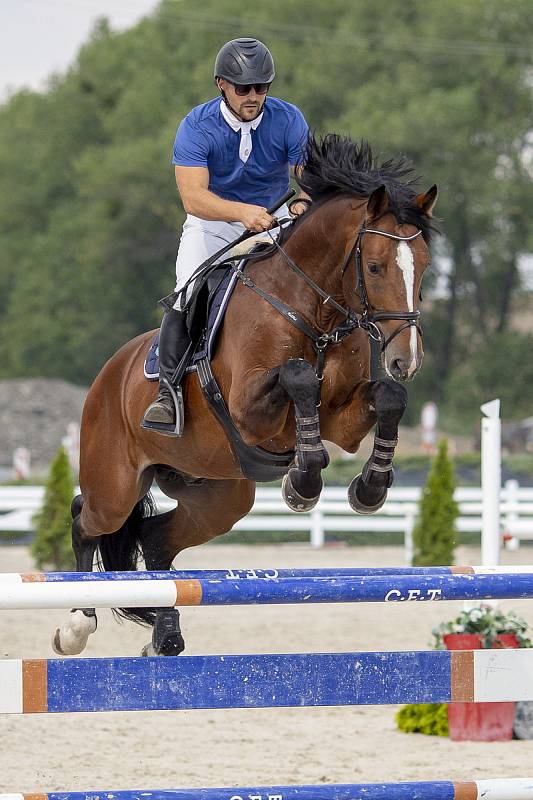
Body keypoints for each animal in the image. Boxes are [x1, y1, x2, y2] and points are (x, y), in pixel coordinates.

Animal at [53, 138, 436, 660]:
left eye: (424, 267)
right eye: (374, 267)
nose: (406, 360)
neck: (312, 310)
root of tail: (106, 376)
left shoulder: (344, 419)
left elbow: (388, 396)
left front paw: (369, 487)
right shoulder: (249, 410)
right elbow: (298, 377)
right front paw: (303, 481)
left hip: (218, 494)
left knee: (156, 540)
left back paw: (165, 634)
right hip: (115, 484)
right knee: (85, 518)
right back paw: (76, 624)